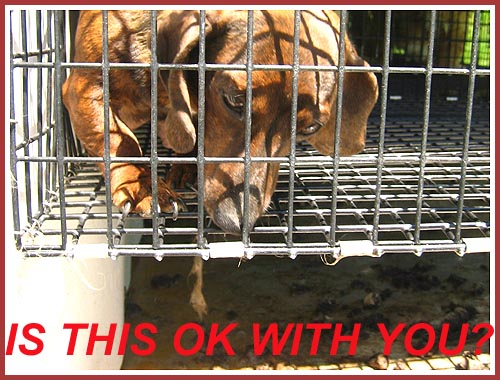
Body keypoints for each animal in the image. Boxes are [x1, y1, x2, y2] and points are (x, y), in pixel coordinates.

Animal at [62, 8, 376, 233]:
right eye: (234, 100)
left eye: (310, 127)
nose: (234, 223)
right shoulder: (84, 89)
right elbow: (121, 140)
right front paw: (143, 186)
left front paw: (186, 164)